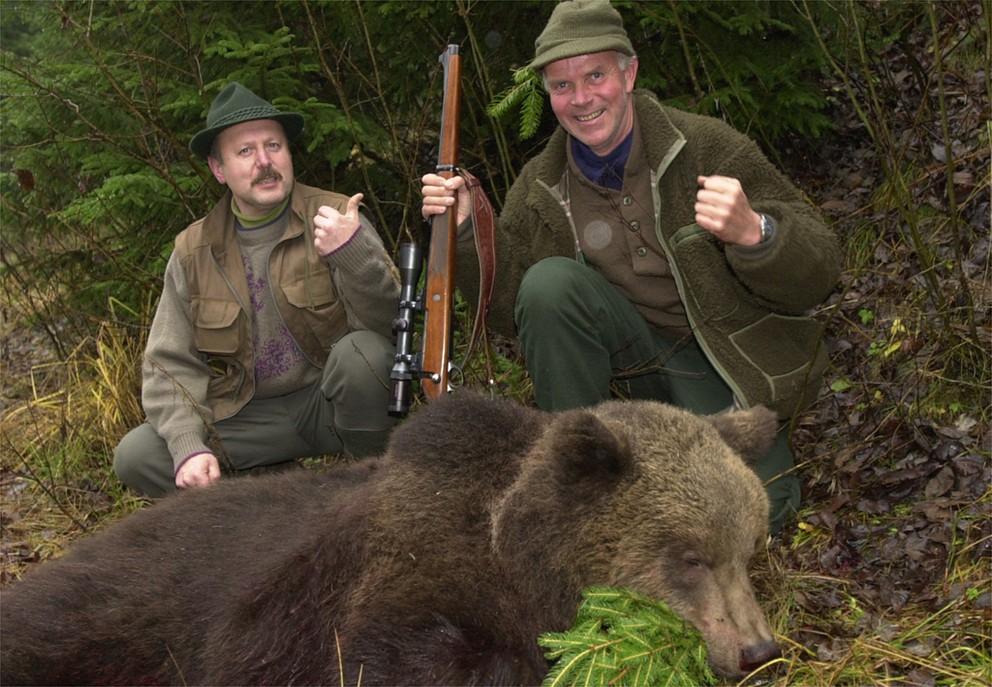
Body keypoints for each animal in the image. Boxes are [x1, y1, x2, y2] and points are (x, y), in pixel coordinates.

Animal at [1, 396, 784, 684]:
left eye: (749, 550)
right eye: (689, 557)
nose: (758, 650)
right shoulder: (376, 583)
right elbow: (390, 654)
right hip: (108, 617)